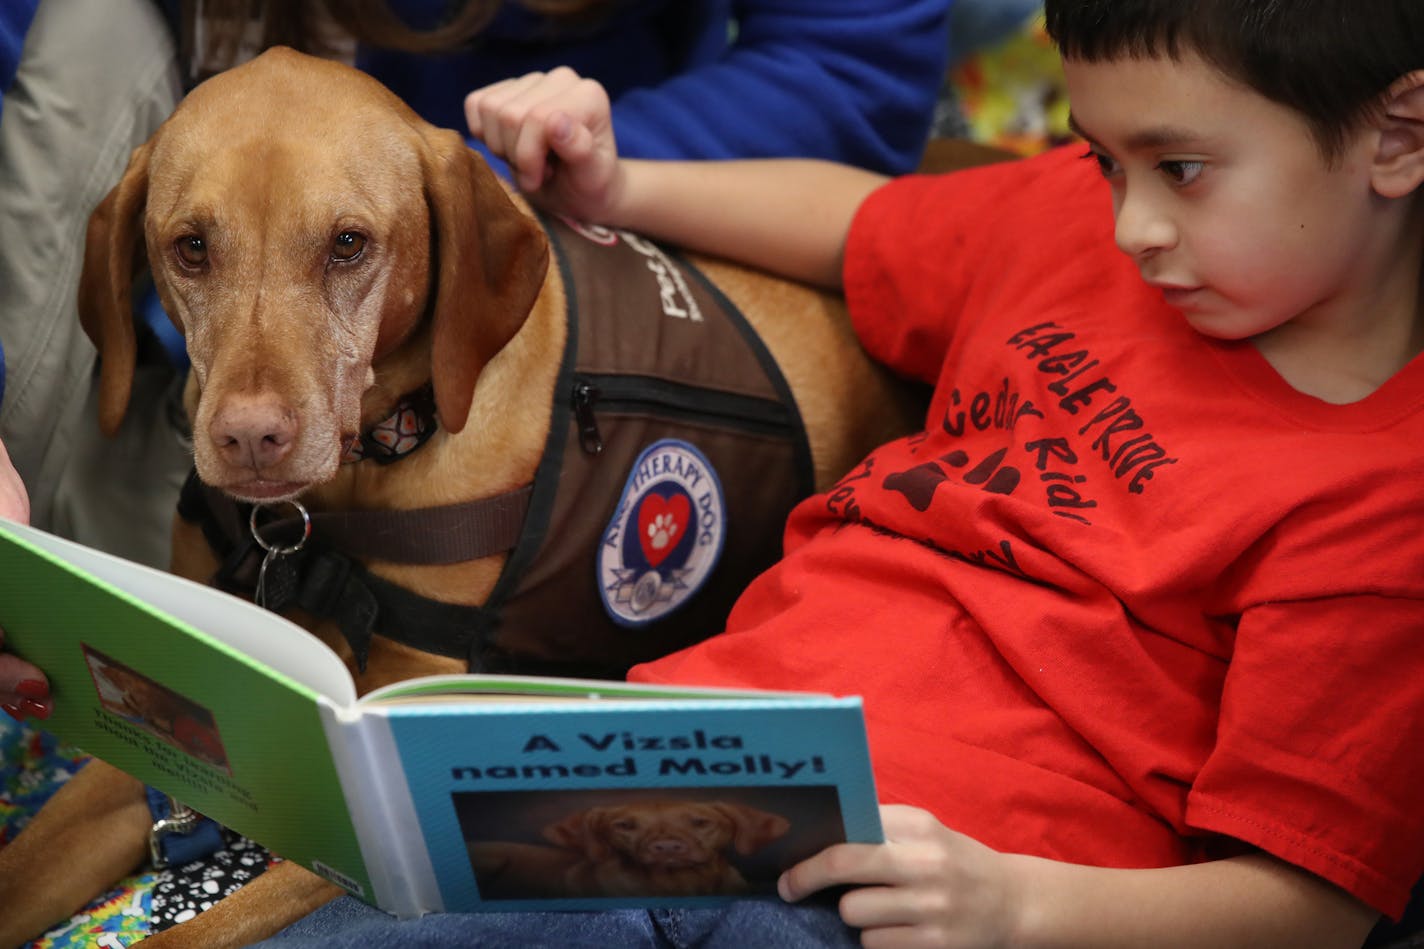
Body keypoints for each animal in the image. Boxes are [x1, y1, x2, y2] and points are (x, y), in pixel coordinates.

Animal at [0, 48, 928, 940]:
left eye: (348, 243)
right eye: (190, 246)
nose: (249, 438)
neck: (332, 504)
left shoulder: (384, 781)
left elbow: (199, 931)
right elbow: (25, 870)